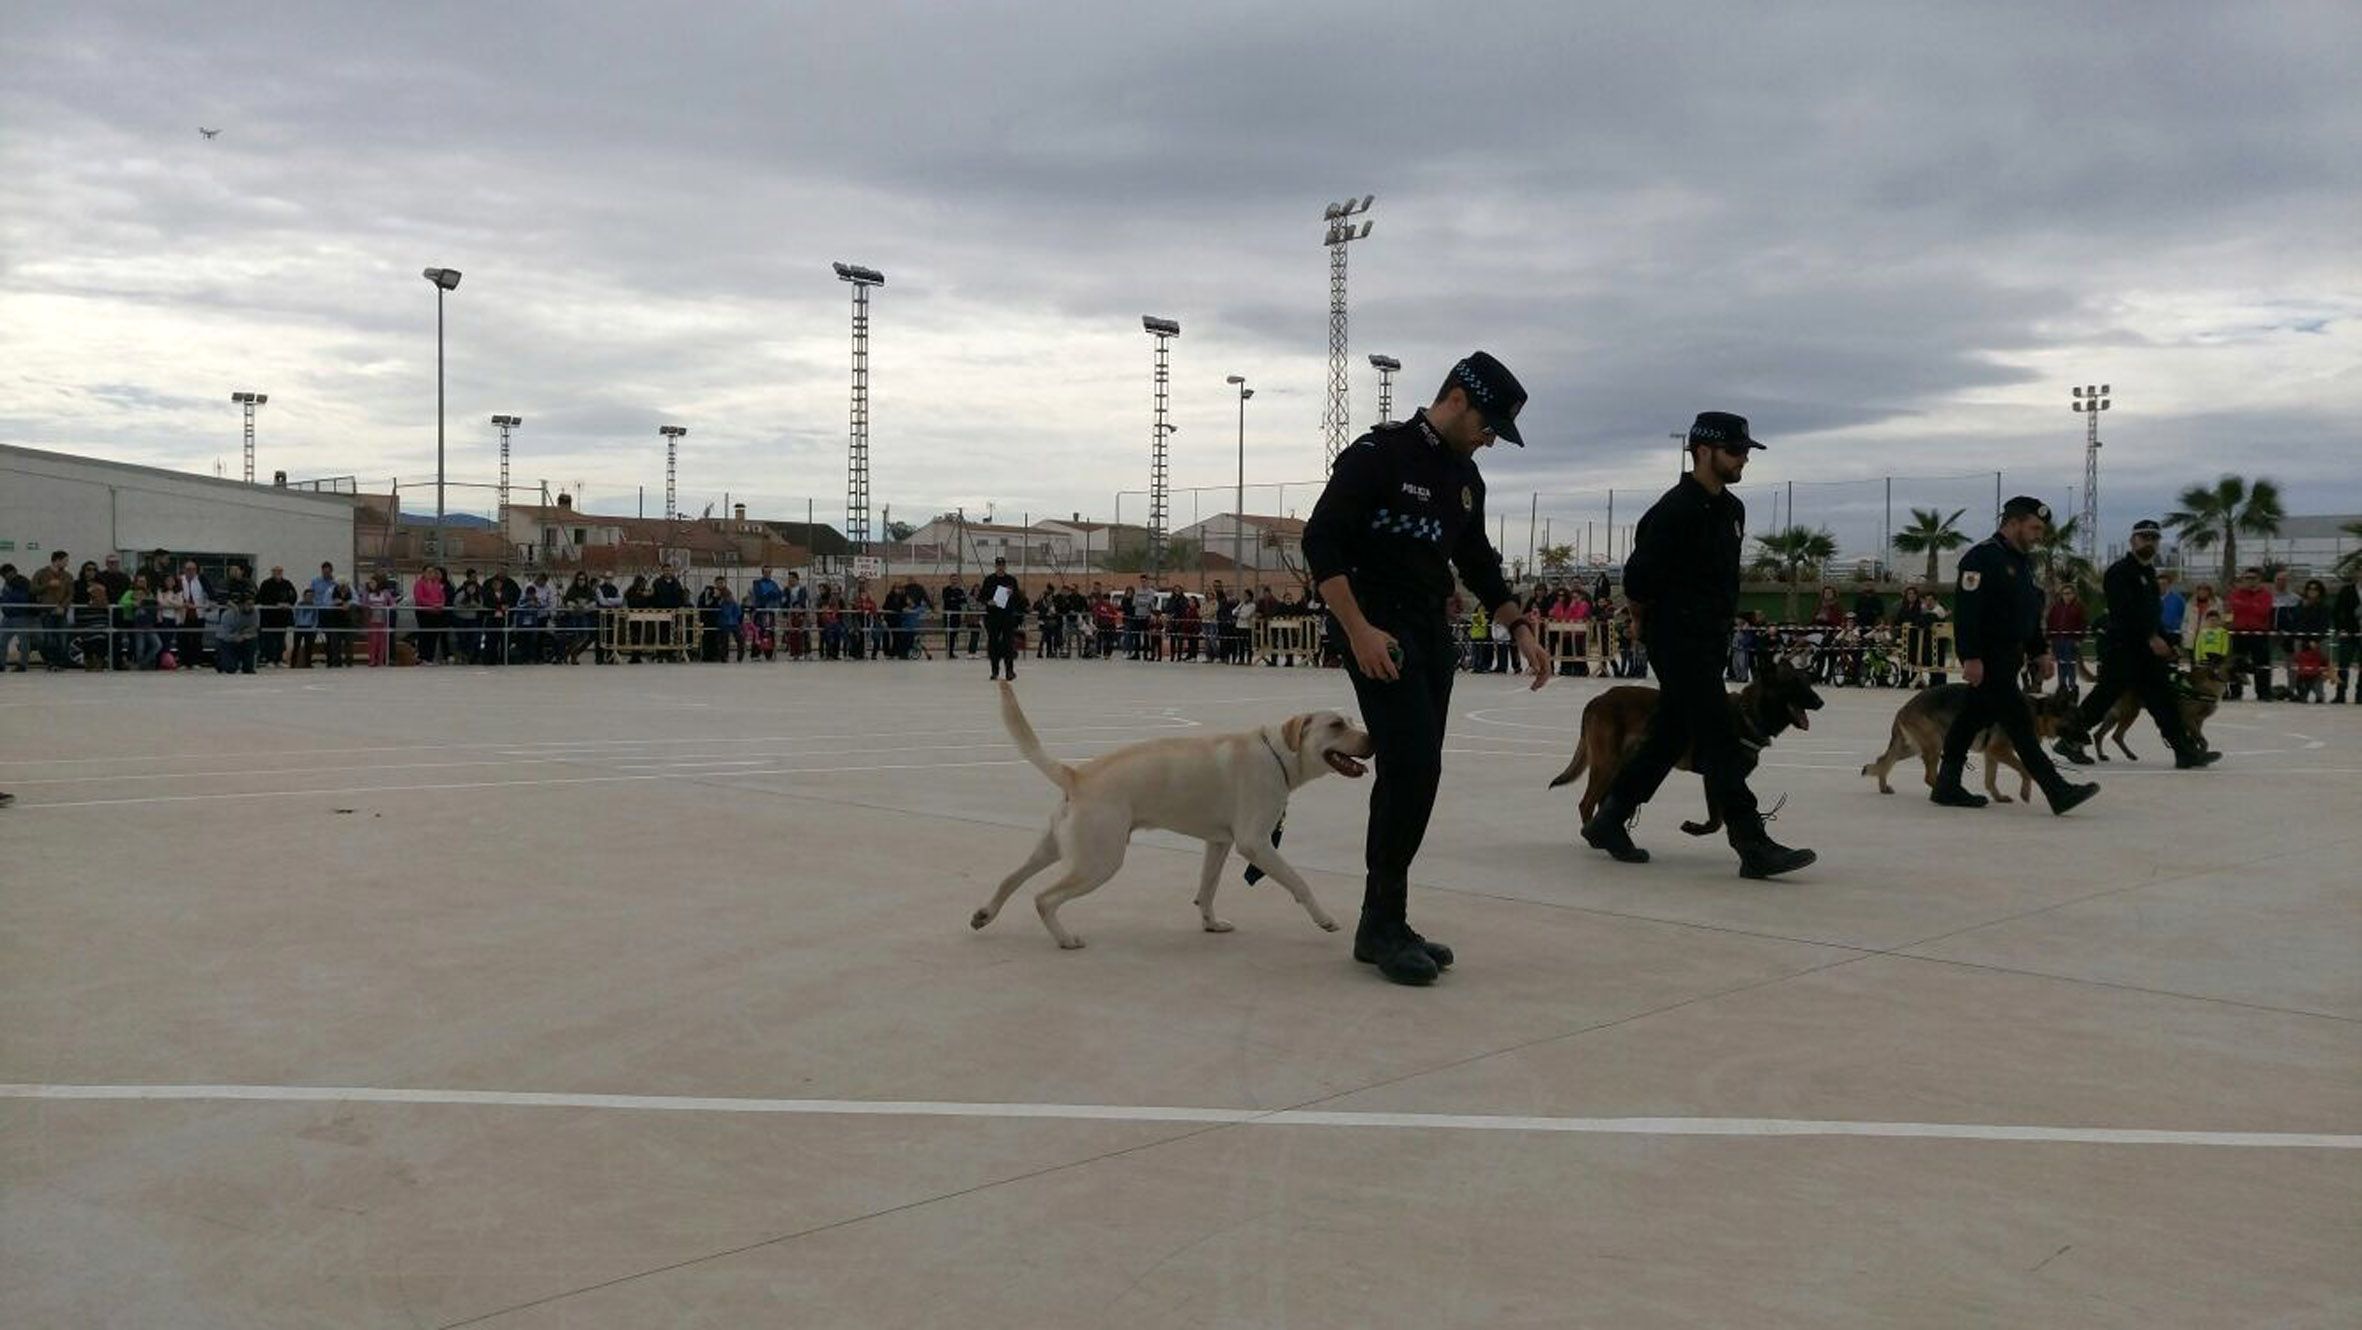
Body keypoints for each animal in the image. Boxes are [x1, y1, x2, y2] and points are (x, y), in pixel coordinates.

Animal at [973, 680, 1379, 954]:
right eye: (1336, 726)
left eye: (1350, 721)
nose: (1373, 740)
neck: (1279, 754)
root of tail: (1076, 774)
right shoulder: (1256, 844)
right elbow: (1299, 882)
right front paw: (1324, 919)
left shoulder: (1219, 842)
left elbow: (1207, 888)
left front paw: (1210, 923)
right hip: (1099, 862)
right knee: (1044, 897)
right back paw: (1065, 939)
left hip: (1056, 849)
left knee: (1011, 878)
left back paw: (985, 914)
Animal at [1549, 661, 1823, 836]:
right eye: (1794, 684)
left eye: (1808, 682)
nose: (1821, 702)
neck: (1747, 714)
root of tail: (1597, 699)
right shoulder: (1714, 777)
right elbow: (1716, 820)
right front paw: (1696, 829)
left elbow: (1728, 813)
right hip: (1607, 764)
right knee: (1586, 803)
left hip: (1621, 764)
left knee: (1602, 800)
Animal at [1861, 685, 2088, 803]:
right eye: (2076, 721)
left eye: (2082, 720)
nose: (2088, 740)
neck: (2038, 712)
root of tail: (1903, 709)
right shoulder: (2000, 750)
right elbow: (2025, 770)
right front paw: (2025, 791)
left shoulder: (1992, 754)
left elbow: (1990, 779)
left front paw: (1998, 797)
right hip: (1934, 744)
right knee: (1928, 776)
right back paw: (1950, 792)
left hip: (1910, 748)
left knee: (1883, 760)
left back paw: (1883, 785)